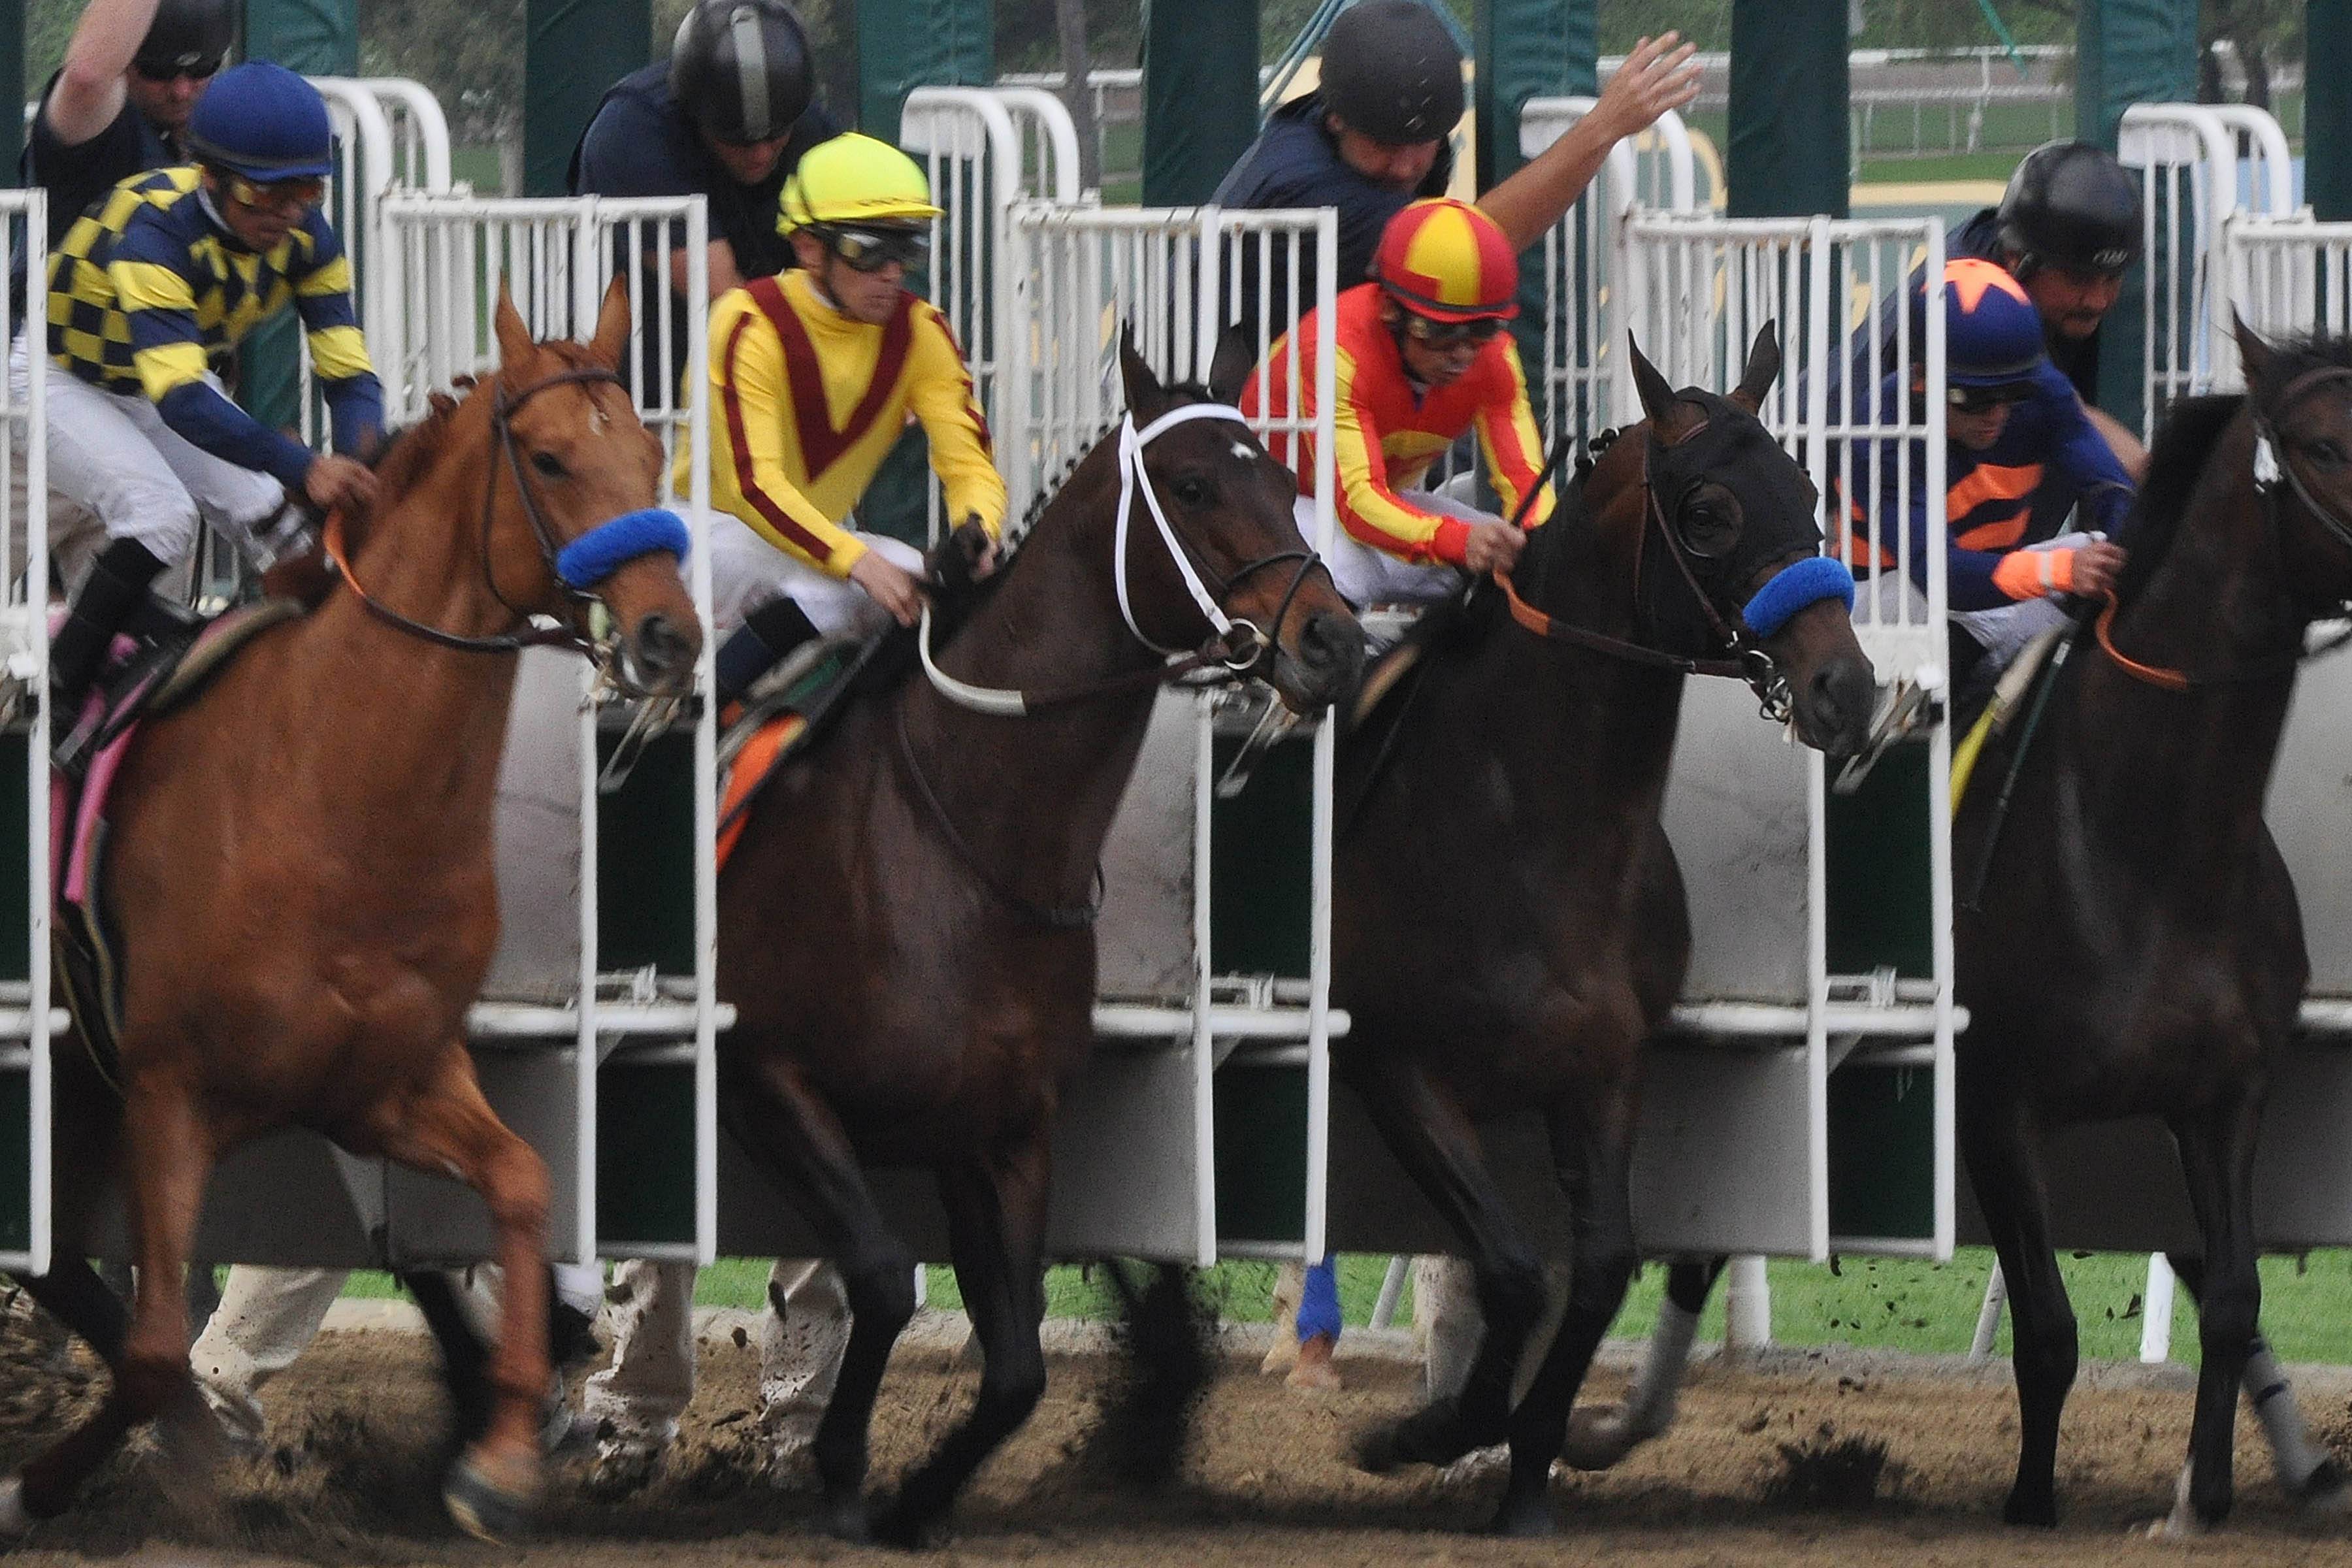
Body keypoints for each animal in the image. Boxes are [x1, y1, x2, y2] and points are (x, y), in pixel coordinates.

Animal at [7, 276, 696, 1542]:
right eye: (549, 457)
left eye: (650, 454)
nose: (671, 633)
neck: (332, 798)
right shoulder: (169, 1093)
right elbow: (155, 1348)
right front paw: (89, 1482)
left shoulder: (388, 1080)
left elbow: (522, 1186)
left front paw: (497, 1460)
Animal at [715, 343, 1364, 1542]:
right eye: (1195, 486)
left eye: (1287, 482)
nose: (1334, 640)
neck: (961, 843)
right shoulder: (767, 1078)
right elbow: (883, 1276)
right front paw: (844, 1471)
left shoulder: (1001, 1129)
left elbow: (1017, 1370)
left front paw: (916, 1499)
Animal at [1345, 324, 1872, 1542]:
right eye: (1710, 511)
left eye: (1809, 490)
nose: (1849, 686)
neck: (1526, 834)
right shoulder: (1396, 1064)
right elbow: (1510, 1271)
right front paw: (1424, 1431)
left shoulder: (1605, 1069)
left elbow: (1596, 1267)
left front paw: (1531, 1461)